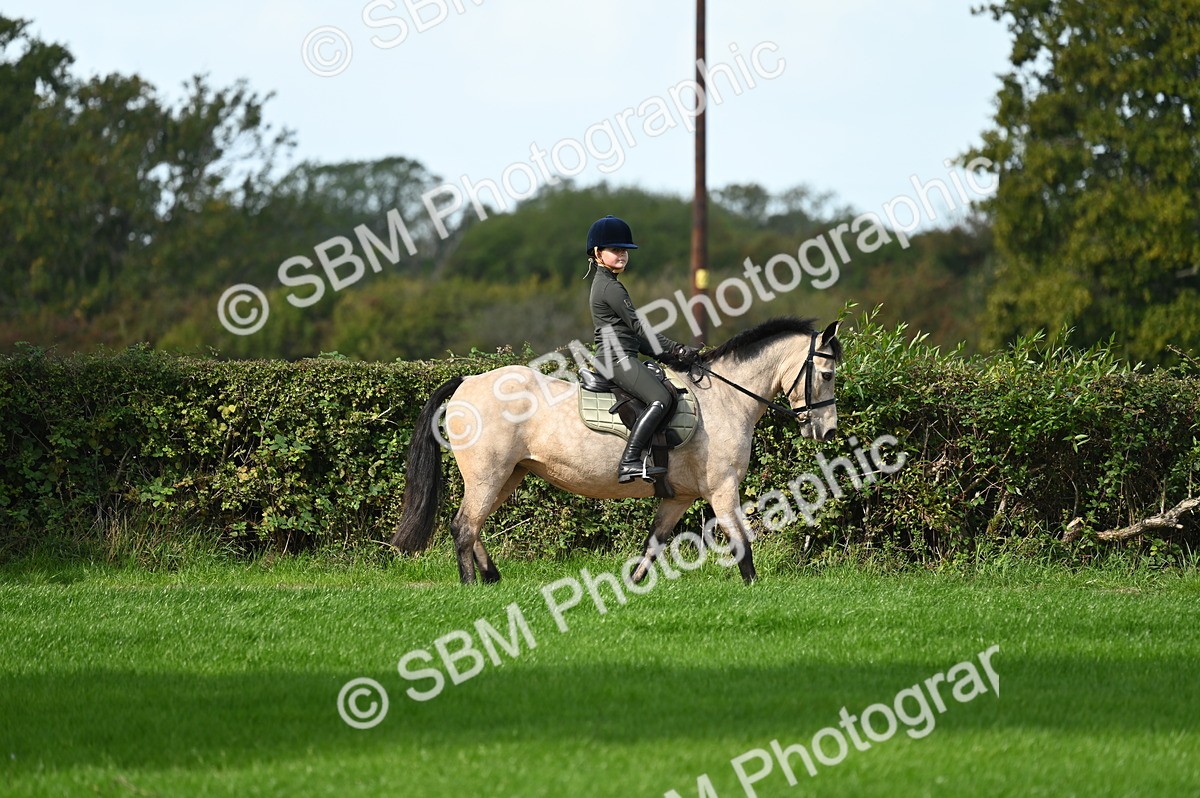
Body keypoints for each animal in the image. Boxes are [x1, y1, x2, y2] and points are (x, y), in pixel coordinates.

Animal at [390, 316, 842, 585]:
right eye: (827, 374)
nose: (828, 430)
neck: (727, 399)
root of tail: (468, 381)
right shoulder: (722, 489)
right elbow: (741, 540)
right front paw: (752, 588)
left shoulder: (678, 497)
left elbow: (653, 543)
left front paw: (631, 585)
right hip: (488, 474)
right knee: (464, 526)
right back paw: (471, 584)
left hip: (508, 475)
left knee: (474, 525)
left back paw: (492, 577)